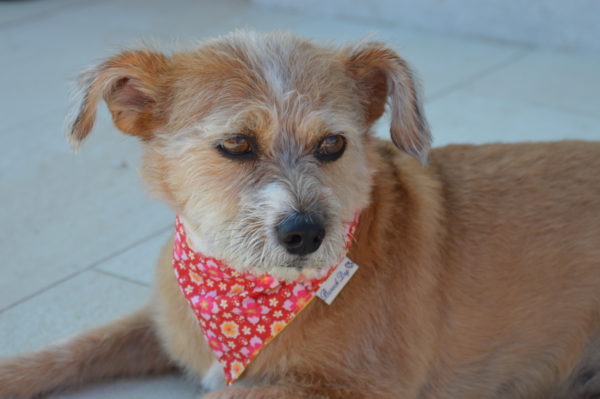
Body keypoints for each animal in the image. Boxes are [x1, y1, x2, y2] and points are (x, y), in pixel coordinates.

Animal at [1, 31, 600, 399]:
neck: (245, 291)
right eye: (237, 144)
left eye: (333, 144)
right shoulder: (162, 320)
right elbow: (76, 346)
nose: (306, 233)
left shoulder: (361, 386)